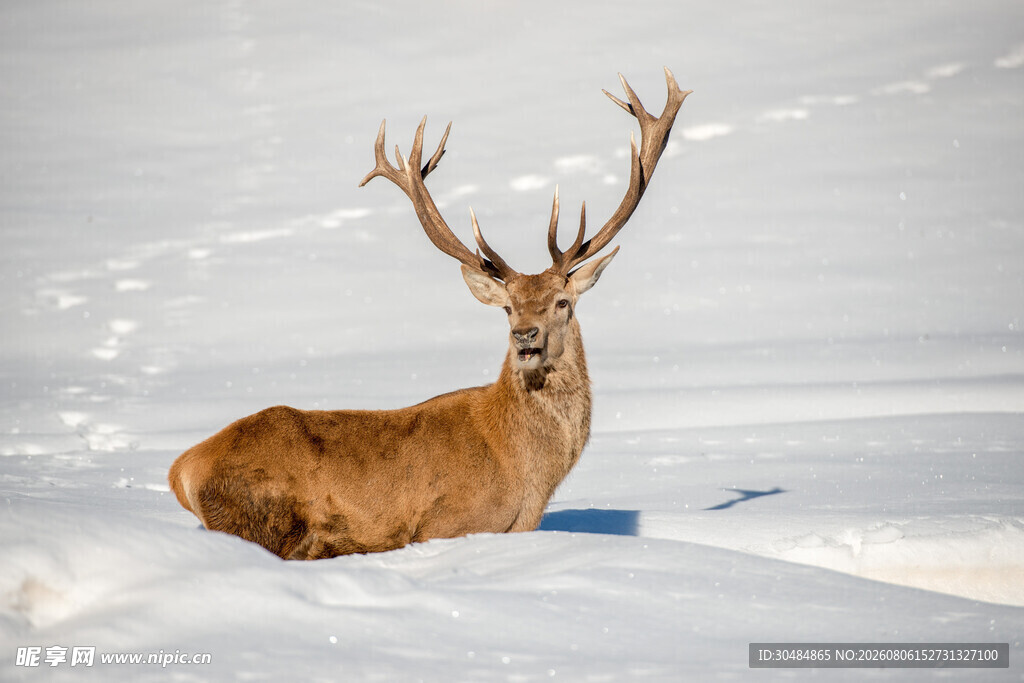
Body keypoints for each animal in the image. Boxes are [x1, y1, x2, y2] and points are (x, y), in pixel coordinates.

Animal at [168, 68, 690, 560]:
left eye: (563, 302)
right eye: (507, 308)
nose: (525, 336)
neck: (527, 476)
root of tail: (181, 470)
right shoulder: (444, 525)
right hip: (264, 519)